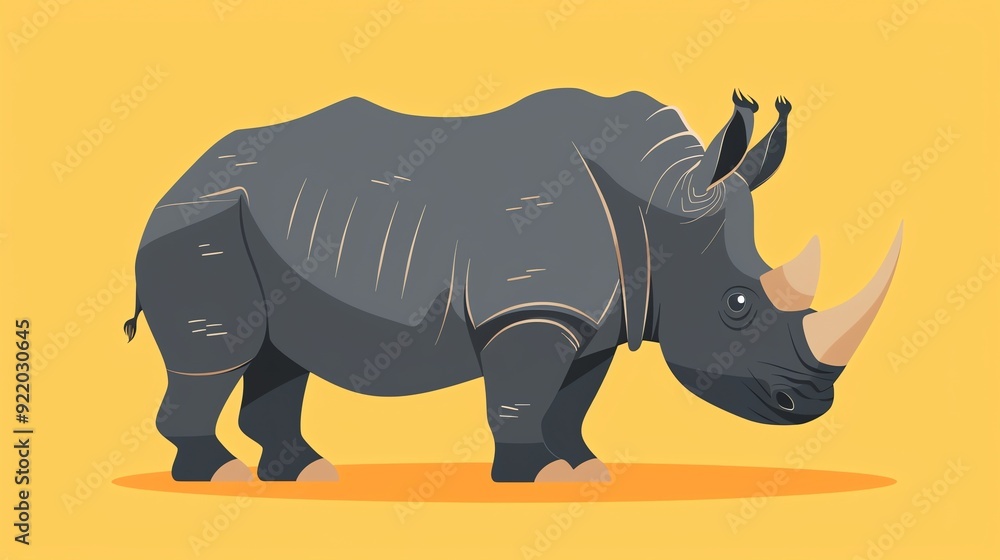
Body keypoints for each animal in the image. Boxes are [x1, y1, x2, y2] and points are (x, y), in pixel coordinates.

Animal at [125, 89, 902, 483]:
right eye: (736, 306)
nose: (809, 403)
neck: (664, 204)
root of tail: (173, 183)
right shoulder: (532, 307)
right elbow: (522, 397)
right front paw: (538, 475)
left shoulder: (596, 319)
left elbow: (571, 400)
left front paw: (586, 472)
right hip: (197, 227)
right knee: (223, 350)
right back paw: (218, 475)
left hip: (265, 224)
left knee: (280, 355)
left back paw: (308, 475)